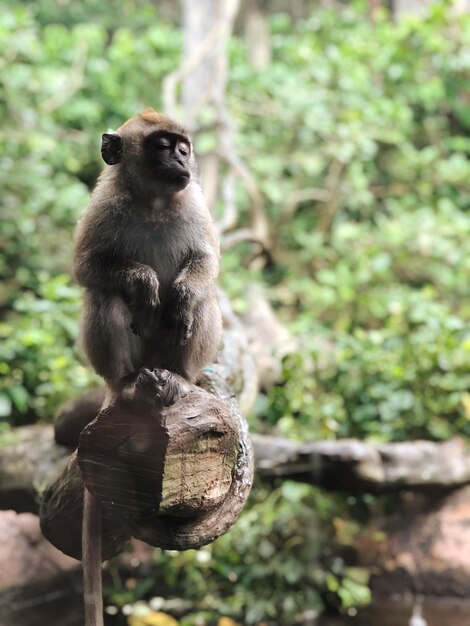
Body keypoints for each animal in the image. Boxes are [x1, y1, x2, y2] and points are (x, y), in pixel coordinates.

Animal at [73, 106, 222, 390]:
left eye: (183, 149)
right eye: (163, 146)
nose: (180, 161)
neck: (155, 201)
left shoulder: (195, 203)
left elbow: (206, 259)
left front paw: (183, 296)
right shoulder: (104, 203)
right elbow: (84, 266)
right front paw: (144, 282)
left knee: (203, 297)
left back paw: (179, 375)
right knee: (103, 293)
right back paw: (126, 381)